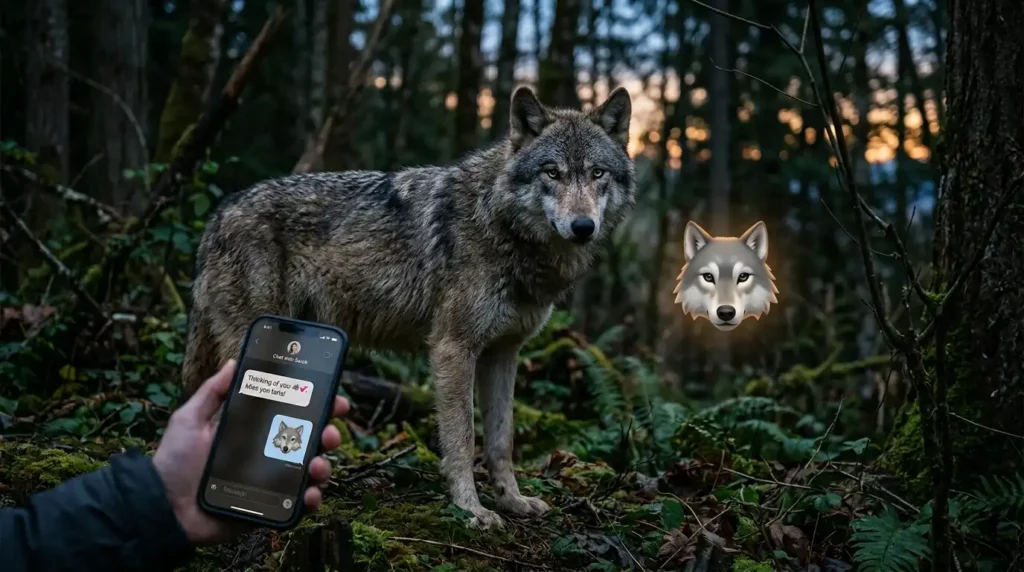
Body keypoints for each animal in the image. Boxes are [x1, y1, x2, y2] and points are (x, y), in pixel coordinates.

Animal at [182, 86, 636, 529]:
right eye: (552, 172)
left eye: (597, 173)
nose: (583, 227)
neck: (499, 223)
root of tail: (217, 215)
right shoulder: (453, 347)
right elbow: (462, 438)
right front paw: (471, 509)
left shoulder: (503, 353)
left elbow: (501, 441)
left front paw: (513, 501)